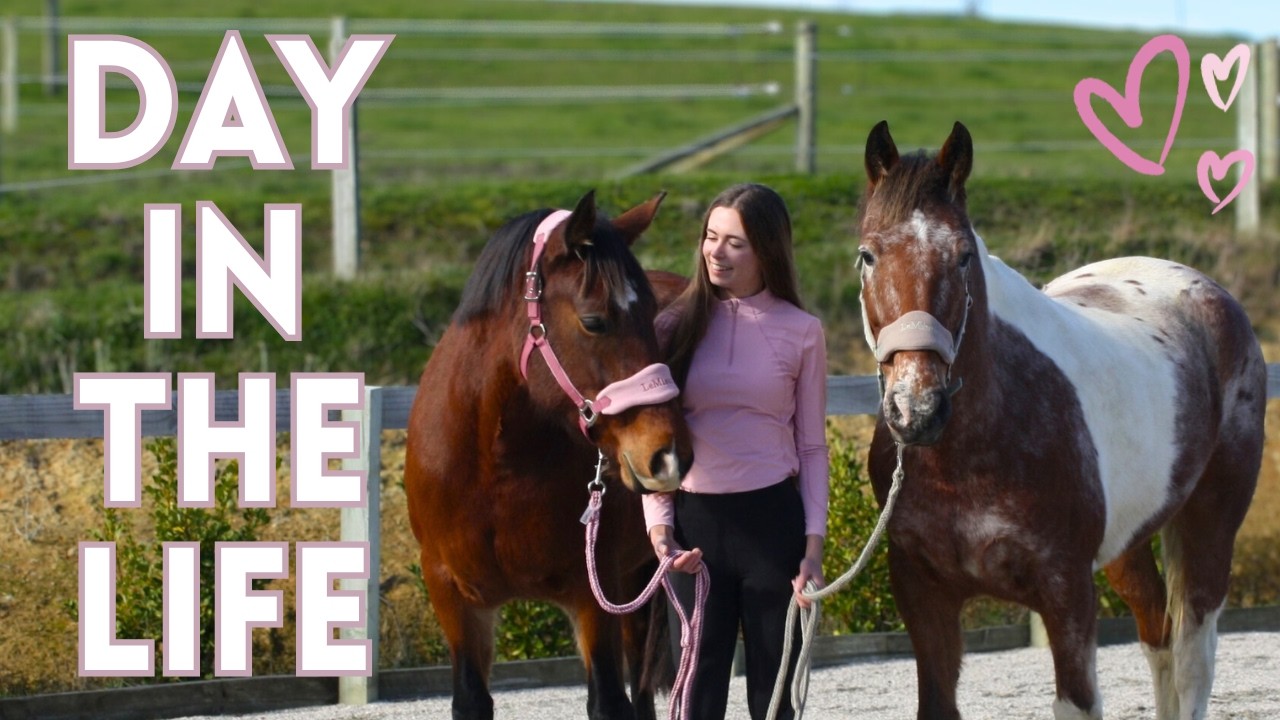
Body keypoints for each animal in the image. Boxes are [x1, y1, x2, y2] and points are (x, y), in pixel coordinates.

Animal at [405, 190, 694, 720]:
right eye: (594, 321)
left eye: (651, 319)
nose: (669, 457)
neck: (495, 464)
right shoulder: (453, 595)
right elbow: (471, 699)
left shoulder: (593, 595)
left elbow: (608, 700)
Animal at [856, 121, 1266, 720]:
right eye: (867, 255)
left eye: (962, 256)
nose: (917, 410)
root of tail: (1206, 290)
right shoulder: (922, 594)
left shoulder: (1066, 591)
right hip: (1128, 545)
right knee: (1159, 638)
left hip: (1209, 527)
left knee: (1193, 661)